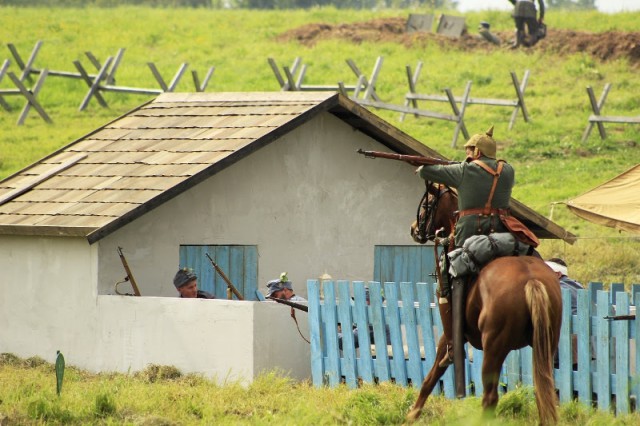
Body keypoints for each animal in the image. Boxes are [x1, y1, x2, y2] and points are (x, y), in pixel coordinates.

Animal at [410, 182, 560, 426]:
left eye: (426, 204)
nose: (414, 229)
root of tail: (531, 280)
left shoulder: (450, 334)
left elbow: (432, 375)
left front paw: (413, 413)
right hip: (546, 344)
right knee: (543, 391)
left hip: (494, 349)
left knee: (490, 398)